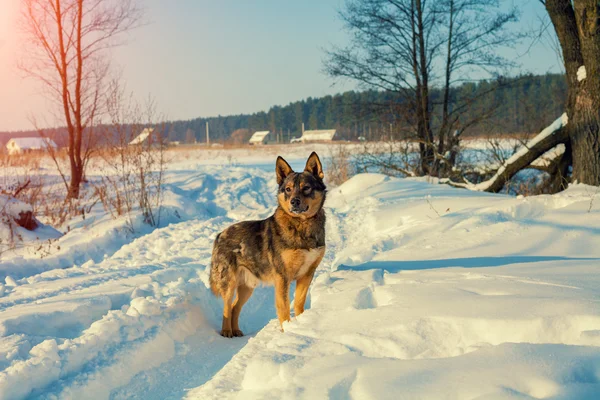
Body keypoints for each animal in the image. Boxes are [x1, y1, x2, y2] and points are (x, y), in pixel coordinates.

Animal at [209, 152, 326, 338]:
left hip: (247, 287)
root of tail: (220, 235)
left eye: (306, 187)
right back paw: (227, 331)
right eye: (288, 189)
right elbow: (284, 308)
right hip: (229, 282)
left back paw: (236, 331)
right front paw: (286, 330)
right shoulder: (282, 277)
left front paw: (301, 326)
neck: (302, 224)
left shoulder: (307, 274)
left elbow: (298, 303)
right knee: (227, 308)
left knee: (235, 307)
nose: (294, 202)